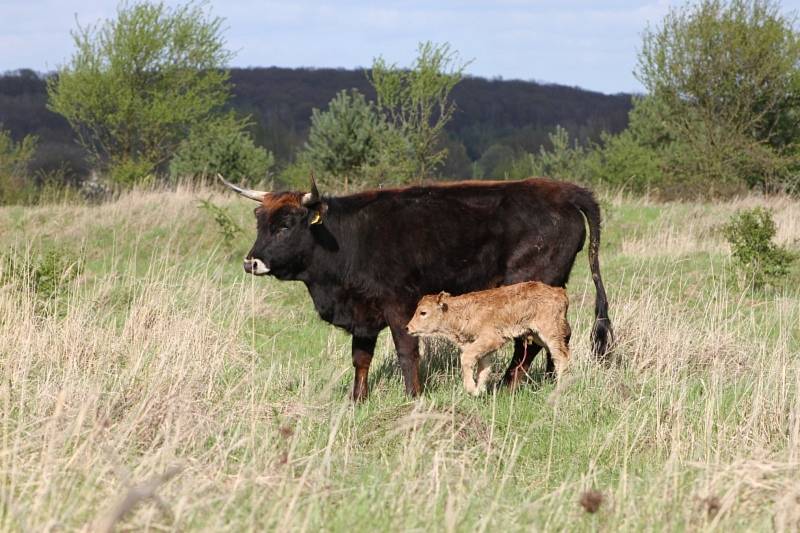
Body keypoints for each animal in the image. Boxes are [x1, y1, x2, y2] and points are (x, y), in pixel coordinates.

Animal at [406, 282, 568, 394]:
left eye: (423, 312)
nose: (408, 328)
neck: (460, 312)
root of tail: (559, 292)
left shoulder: (491, 339)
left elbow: (467, 358)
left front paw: (471, 388)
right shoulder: (483, 348)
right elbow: (484, 368)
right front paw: (479, 391)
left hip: (550, 333)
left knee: (562, 357)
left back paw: (560, 388)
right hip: (537, 336)